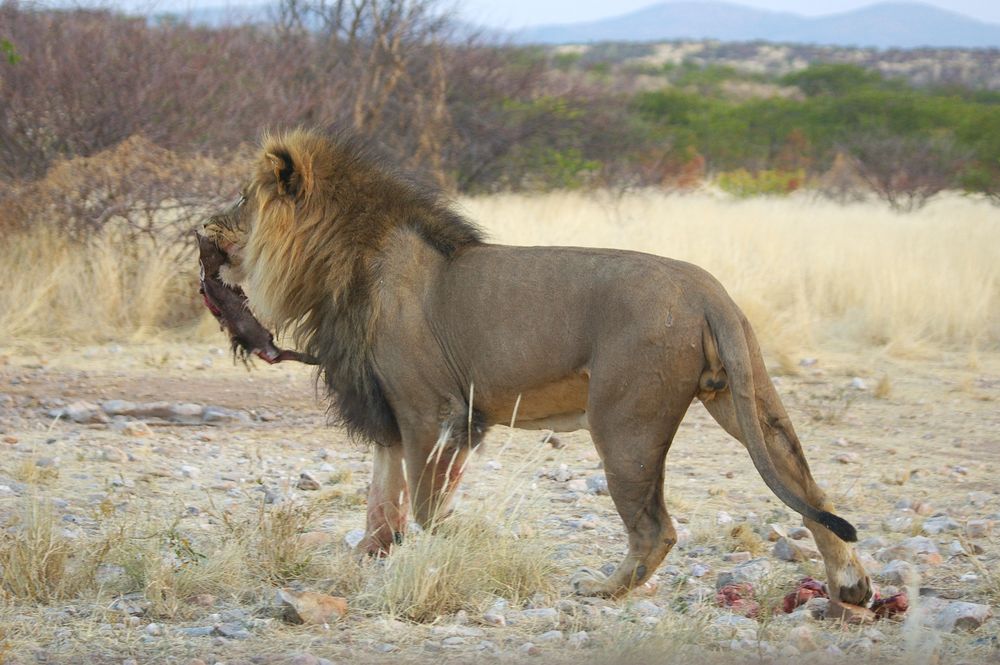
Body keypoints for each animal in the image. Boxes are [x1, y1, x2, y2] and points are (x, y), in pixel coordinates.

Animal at [199, 128, 872, 600]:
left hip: (624, 423)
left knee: (656, 527)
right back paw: (851, 587)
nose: (202, 225)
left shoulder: (429, 410)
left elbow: (424, 503)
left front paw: (447, 553)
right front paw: (368, 556)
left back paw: (605, 590)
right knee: (810, 489)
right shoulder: (392, 408)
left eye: (242, 198)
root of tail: (708, 291)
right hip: (746, 401)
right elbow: (382, 495)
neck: (347, 258)